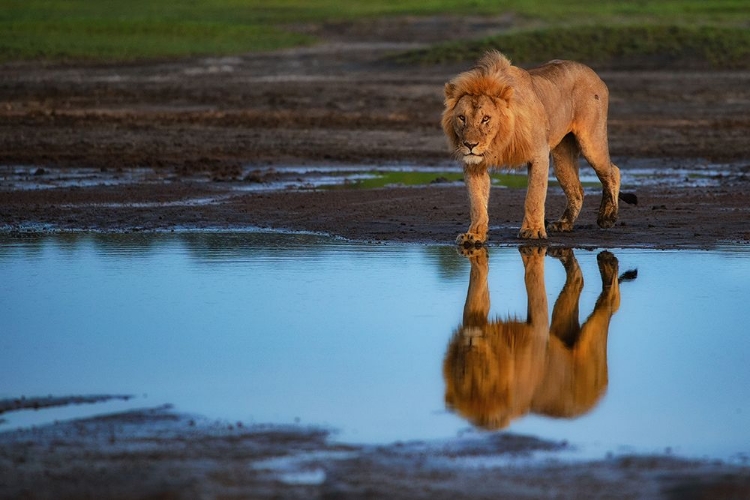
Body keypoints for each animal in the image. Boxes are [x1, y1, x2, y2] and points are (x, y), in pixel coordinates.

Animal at [444, 51, 636, 245]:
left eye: (486, 119)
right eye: (462, 118)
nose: (470, 145)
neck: (500, 140)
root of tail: (592, 72)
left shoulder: (539, 155)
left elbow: (534, 196)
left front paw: (533, 231)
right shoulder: (475, 164)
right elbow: (477, 202)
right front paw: (474, 234)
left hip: (591, 141)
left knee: (612, 171)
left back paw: (607, 217)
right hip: (562, 158)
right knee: (577, 190)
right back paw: (564, 223)